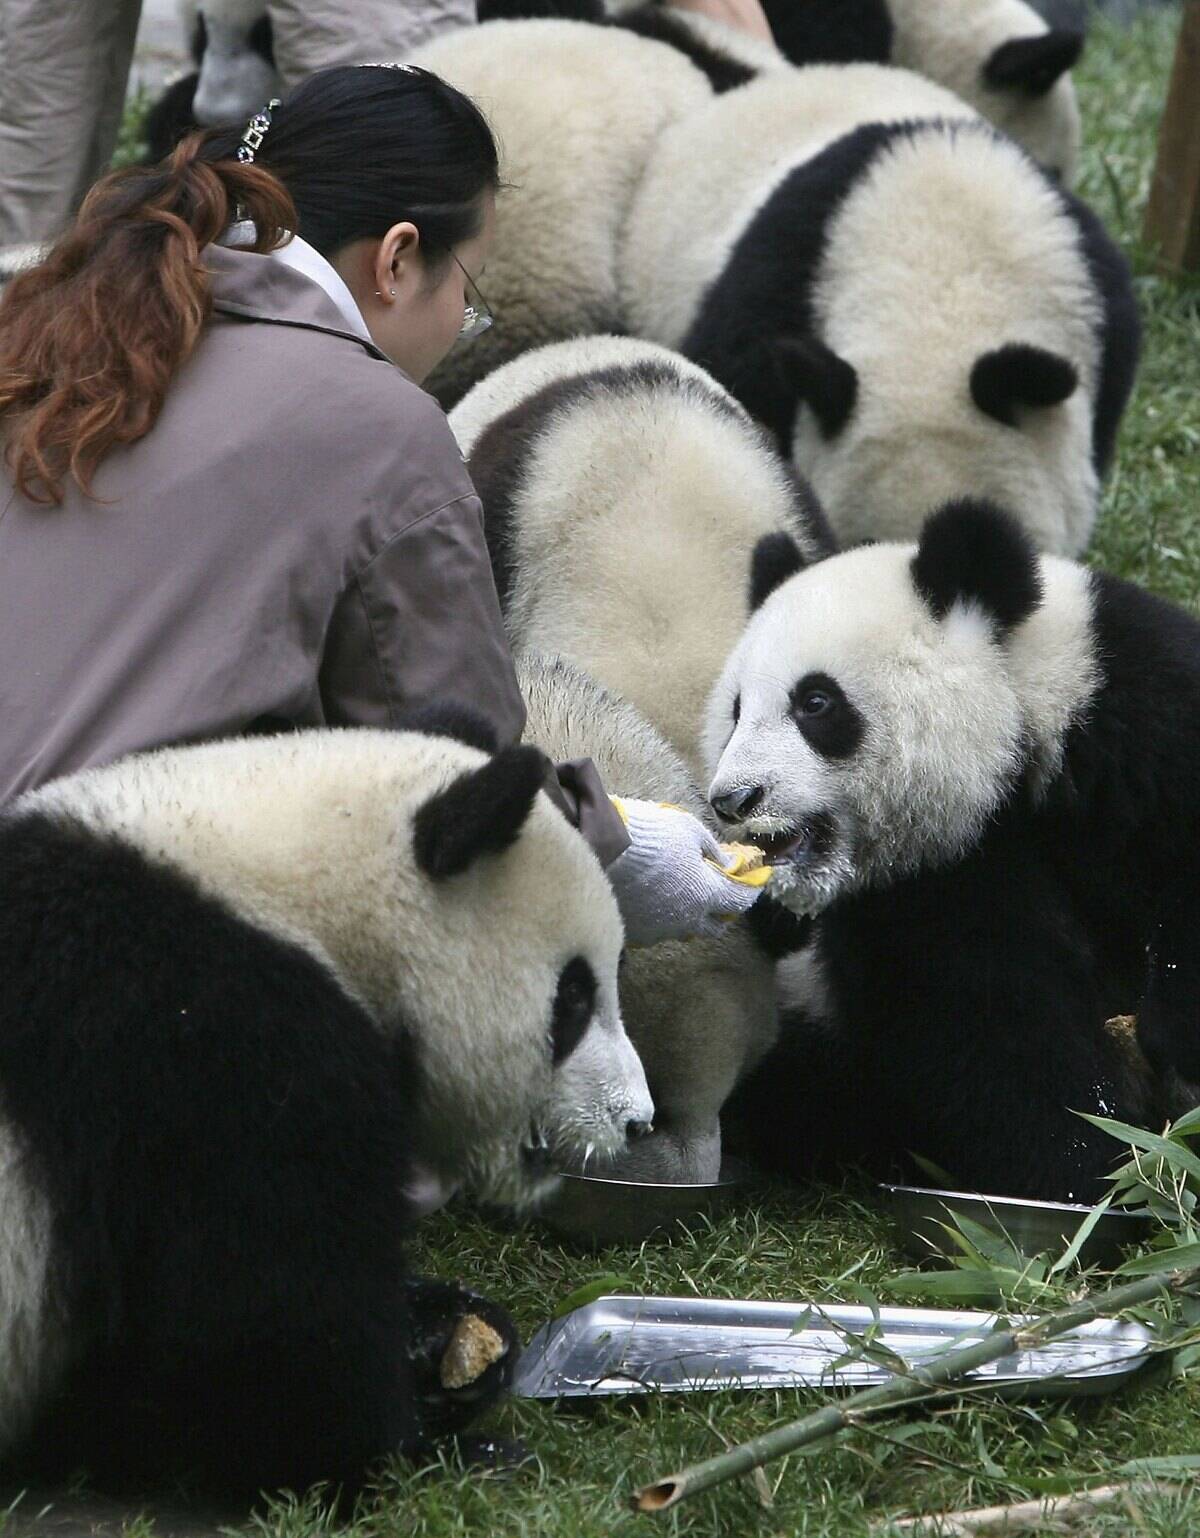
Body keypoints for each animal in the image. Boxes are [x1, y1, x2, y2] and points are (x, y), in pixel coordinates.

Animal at [0, 721, 651, 1498]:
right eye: (574, 999)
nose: (636, 1121)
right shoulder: (202, 1047)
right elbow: (265, 1314)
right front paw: (418, 1455)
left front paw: (450, 1340)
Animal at [704, 499, 1200, 1202]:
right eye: (737, 710)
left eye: (815, 702)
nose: (733, 799)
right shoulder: (924, 885)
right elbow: (990, 1031)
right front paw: (1096, 1170)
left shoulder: (1133, 719)